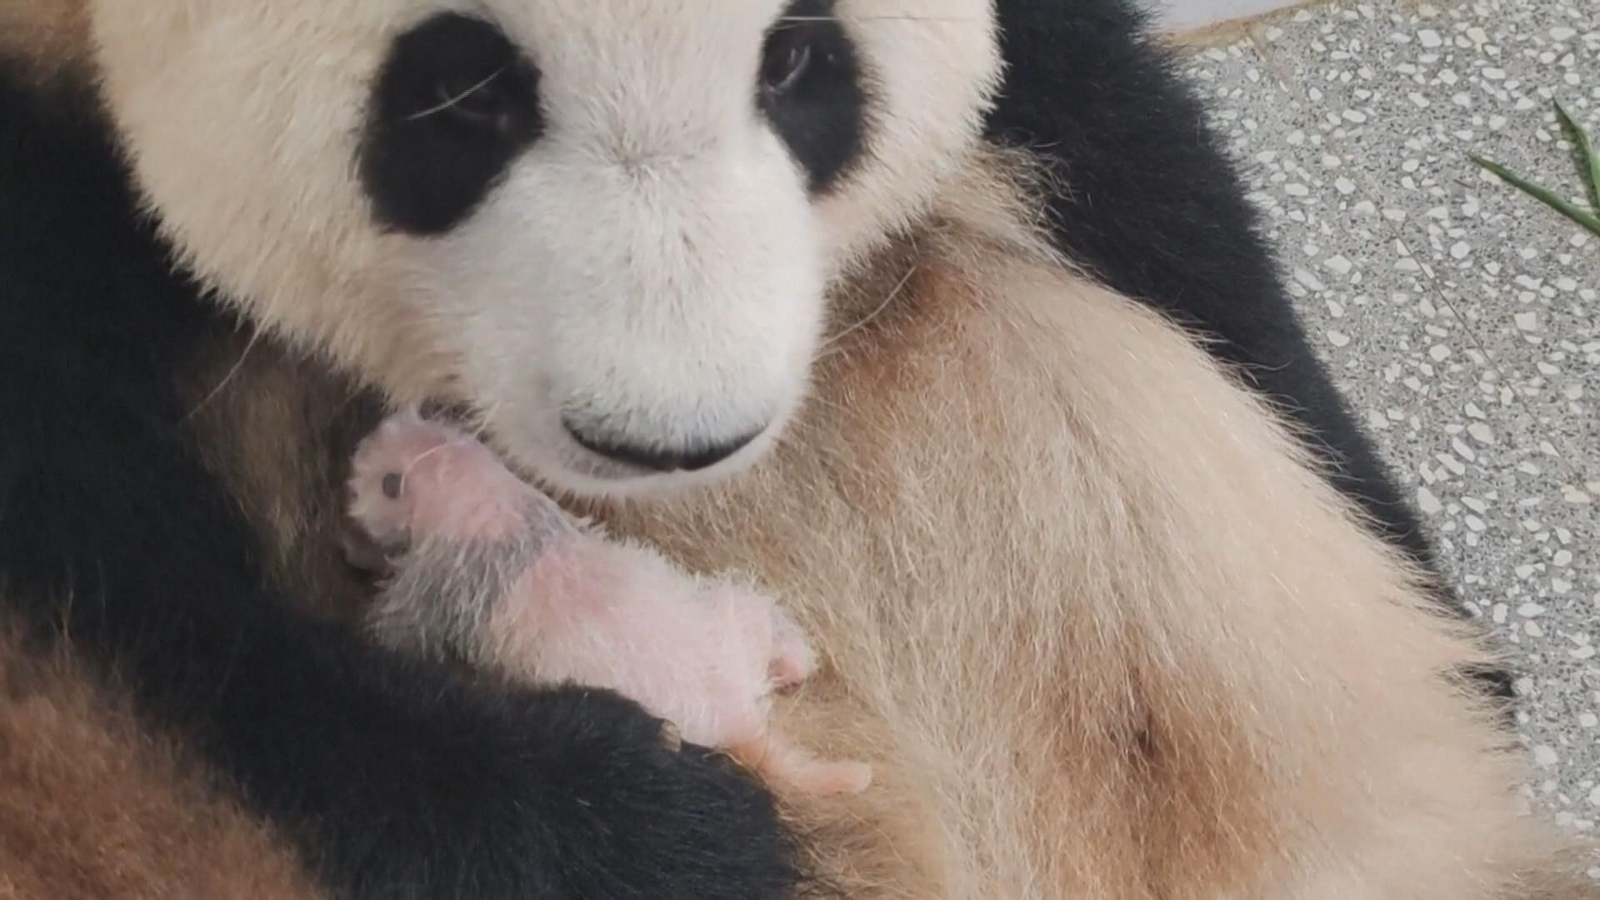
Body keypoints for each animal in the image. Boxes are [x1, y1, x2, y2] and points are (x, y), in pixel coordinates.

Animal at [0, 0, 1589, 898]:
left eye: (800, 65)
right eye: (458, 98)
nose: (680, 438)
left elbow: (1094, 116)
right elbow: (123, 609)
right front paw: (644, 831)